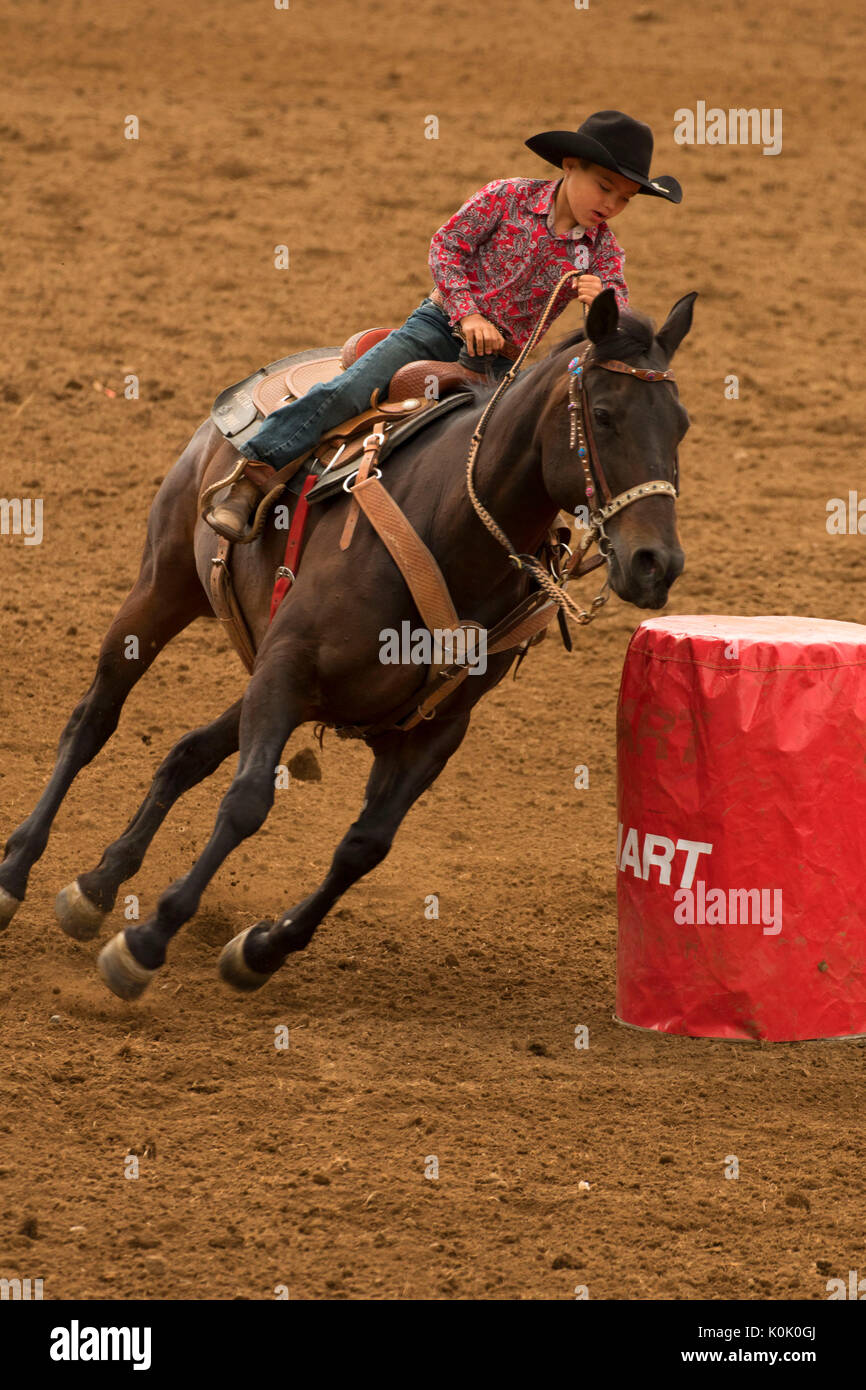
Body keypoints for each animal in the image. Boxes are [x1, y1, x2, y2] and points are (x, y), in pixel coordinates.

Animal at [0, 290, 695, 1000]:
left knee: (186, 753)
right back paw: (16, 872)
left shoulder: (431, 728)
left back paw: (97, 885)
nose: (656, 564)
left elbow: (364, 846)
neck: (450, 527)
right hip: (163, 586)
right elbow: (247, 803)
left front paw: (259, 949)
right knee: (93, 719)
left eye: (682, 425)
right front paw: (146, 942)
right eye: (604, 416)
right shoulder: (286, 671)